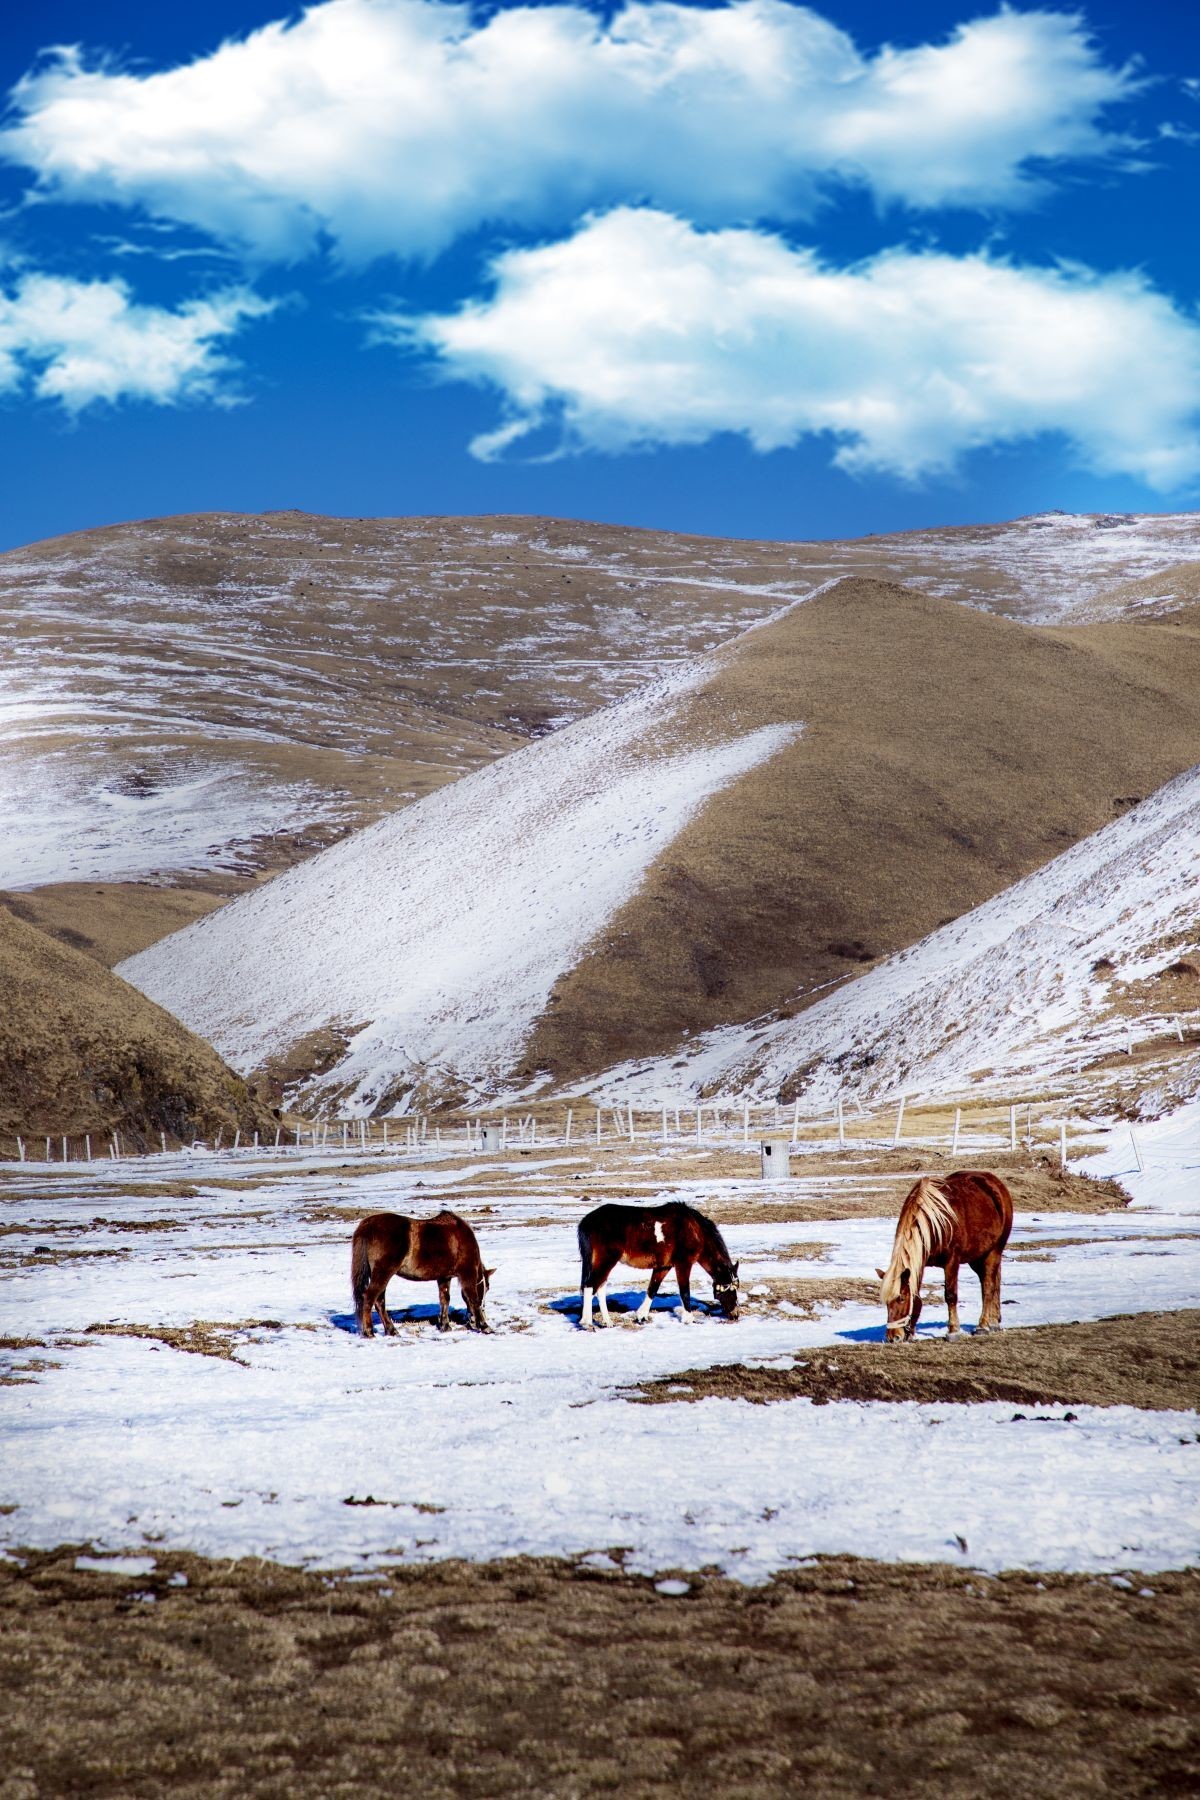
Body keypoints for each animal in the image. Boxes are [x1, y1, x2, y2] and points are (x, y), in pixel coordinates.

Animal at [349, 1209, 496, 1339]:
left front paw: (445, 1325)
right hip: (383, 1273)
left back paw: (391, 1331)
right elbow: (473, 1298)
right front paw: (484, 1326)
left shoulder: (444, 1277)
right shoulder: (467, 1273)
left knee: (379, 1301)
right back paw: (369, 1332)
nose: (474, 1319)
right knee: (369, 1297)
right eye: (486, 1288)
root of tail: (366, 1226)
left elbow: (444, 1299)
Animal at [575, 1202, 737, 1332]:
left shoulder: (663, 1267)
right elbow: (684, 1291)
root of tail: (588, 1220)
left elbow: (653, 1288)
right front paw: (689, 1319)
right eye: (731, 1289)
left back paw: (608, 1322)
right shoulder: (683, 1264)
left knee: (600, 1288)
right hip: (606, 1260)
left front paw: (641, 1315)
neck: (694, 1230)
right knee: (590, 1286)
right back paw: (587, 1323)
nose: (735, 1315)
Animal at [874, 1173, 1014, 1346]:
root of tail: (996, 1183)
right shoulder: (921, 1264)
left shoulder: (951, 1261)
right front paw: (911, 1334)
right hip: (978, 1257)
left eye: (901, 1298)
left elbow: (950, 1295)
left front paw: (953, 1330)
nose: (893, 1337)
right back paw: (994, 1321)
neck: (935, 1226)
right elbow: (917, 1298)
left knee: (988, 1287)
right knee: (991, 1282)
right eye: (886, 1302)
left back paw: (983, 1325)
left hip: (994, 1251)